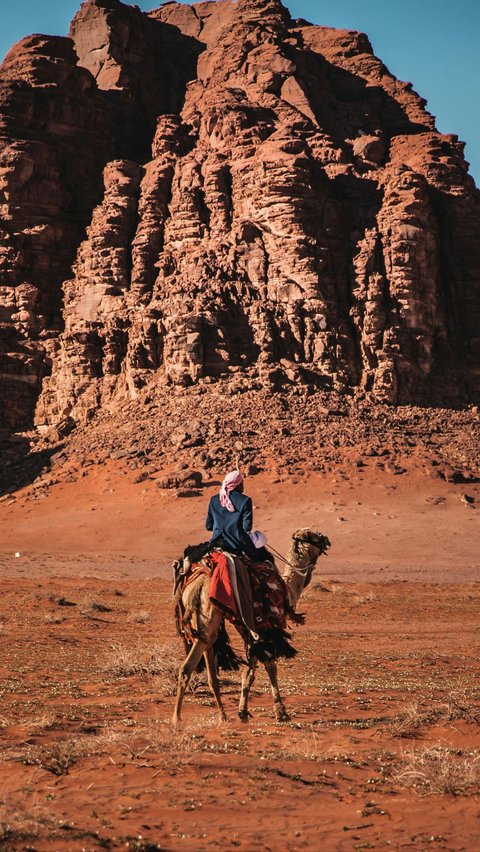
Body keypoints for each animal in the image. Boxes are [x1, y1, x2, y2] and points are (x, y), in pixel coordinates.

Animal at [172, 532, 330, 724]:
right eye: (313, 535)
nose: (326, 540)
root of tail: (199, 583)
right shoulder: (264, 627)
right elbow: (270, 667)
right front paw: (281, 712)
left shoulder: (247, 628)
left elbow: (248, 671)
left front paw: (243, 712)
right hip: (210, 622)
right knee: (186, 669)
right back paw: (177, 719)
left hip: (204, 628)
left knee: (208, 673)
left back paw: (223, 715)